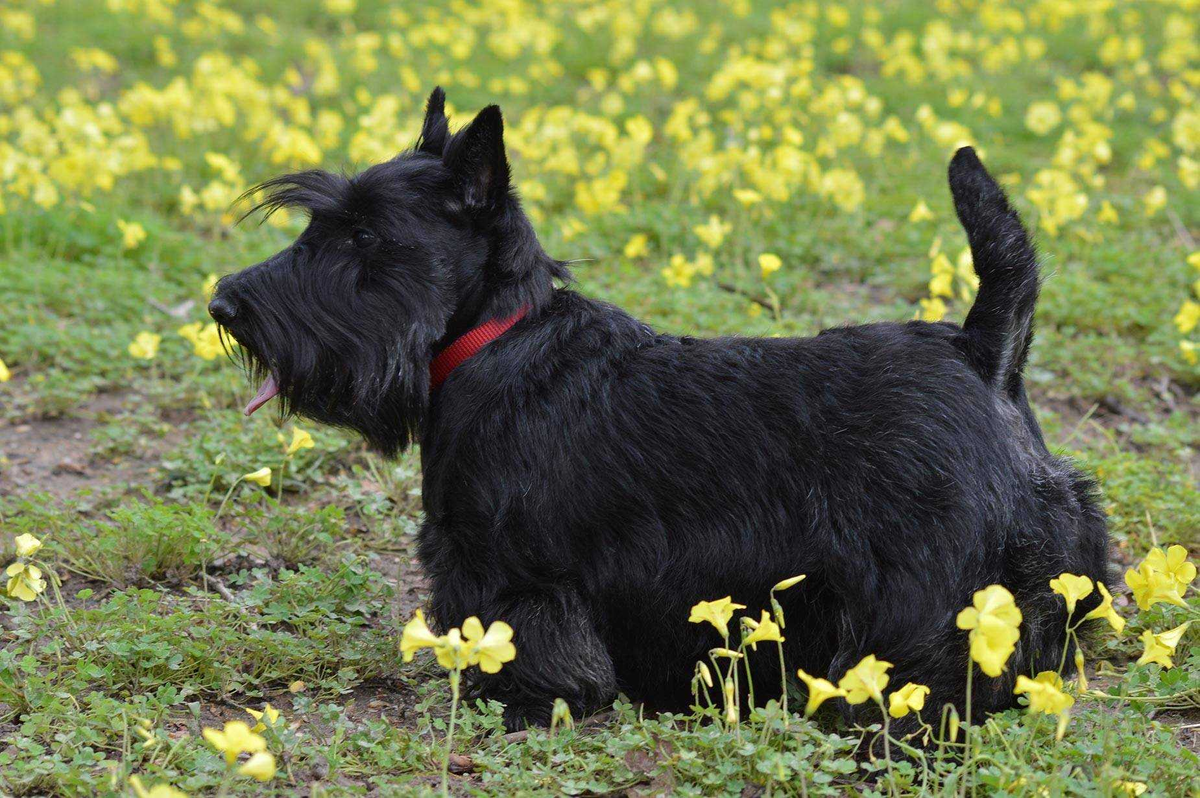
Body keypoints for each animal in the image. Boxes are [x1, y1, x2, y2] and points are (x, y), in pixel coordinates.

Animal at [211, 87, 1108, 729]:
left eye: (364, 238)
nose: (224, 304)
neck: (498, 337)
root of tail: (979, 349)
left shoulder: (512, 571)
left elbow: (532, 641)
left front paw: (529, 702)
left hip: (931, 584)